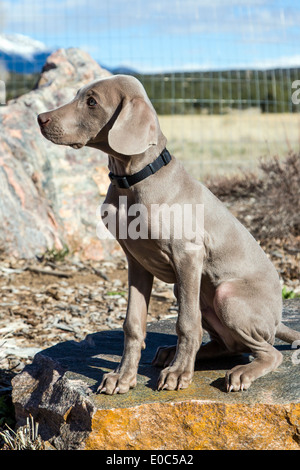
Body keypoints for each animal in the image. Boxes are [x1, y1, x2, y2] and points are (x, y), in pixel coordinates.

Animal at [38, 75, 300, 394]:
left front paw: (178, 374)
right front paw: (122, 377)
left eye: (91, 102)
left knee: (268, 352)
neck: (132, 180)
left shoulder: (187, 254)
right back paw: (171, 353)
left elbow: (186, 323)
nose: (40, 118)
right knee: (229, 345)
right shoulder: (136, 261)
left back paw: (239, 373)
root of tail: (277, 320)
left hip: (225, 295)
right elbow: (133, 323)